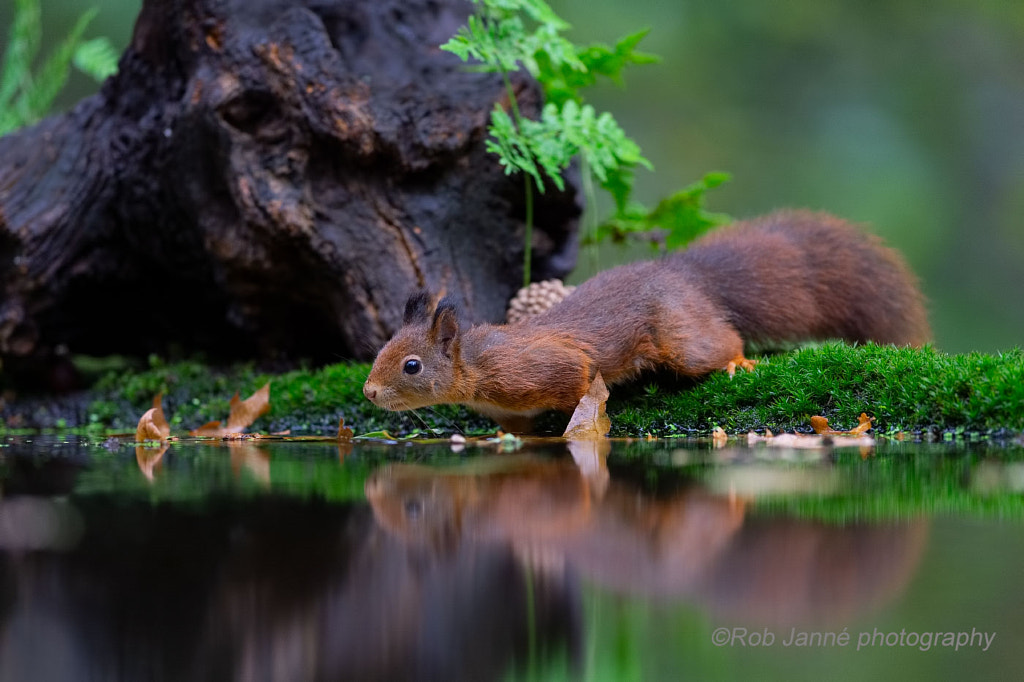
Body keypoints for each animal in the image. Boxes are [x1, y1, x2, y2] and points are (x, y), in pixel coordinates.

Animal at [364, 209, 933, 430]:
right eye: (381, 349)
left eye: (412, 366)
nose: (369, 392)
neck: (476, 367)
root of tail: (686, 275)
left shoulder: (539, 368)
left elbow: (578, 379)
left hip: (681, 336)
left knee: (717, 342)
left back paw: (737, 361)